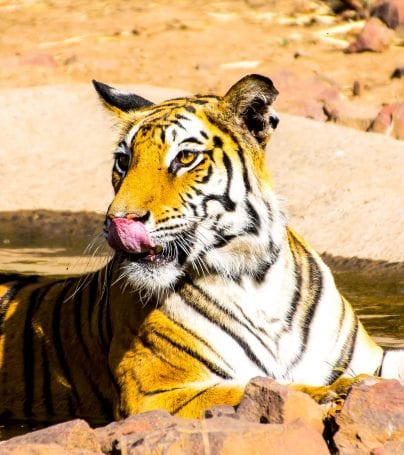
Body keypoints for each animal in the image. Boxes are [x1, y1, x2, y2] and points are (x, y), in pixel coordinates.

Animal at [0, 73, 404, 426]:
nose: (118, 220)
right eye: (124, 161)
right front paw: (335, 391)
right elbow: (261, 387)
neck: (254, 276)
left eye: (184, 159)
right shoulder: (153, 393)